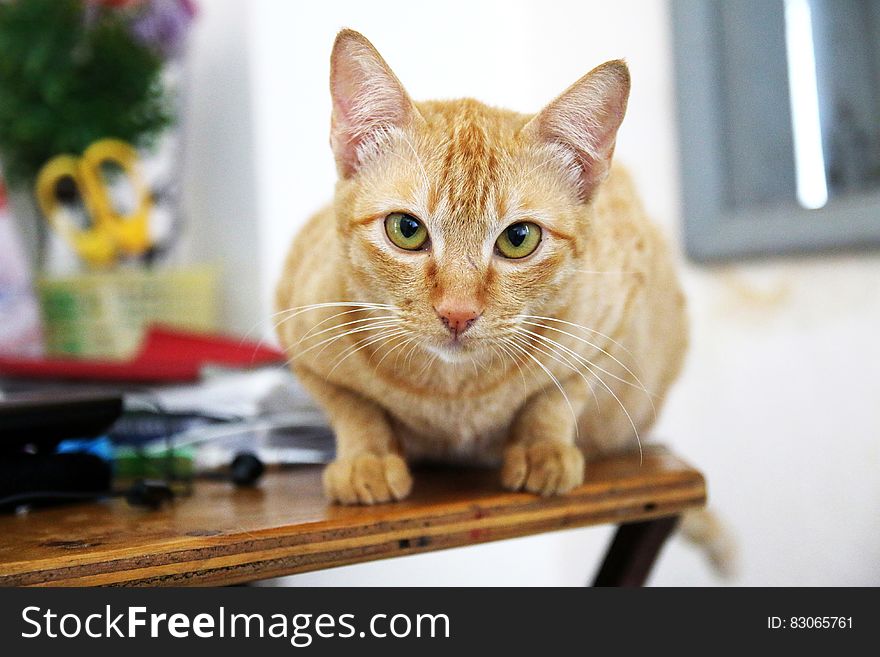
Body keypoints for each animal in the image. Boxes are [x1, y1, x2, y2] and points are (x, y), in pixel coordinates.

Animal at [276, 28, 688, 504]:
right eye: (406, 229)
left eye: (518, 238)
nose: (458, 313)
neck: (454, 394)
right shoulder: (297, 332)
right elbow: (353, 406)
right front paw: (369, 457)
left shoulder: (609, 325)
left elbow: (556, 396)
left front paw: (541, 449)